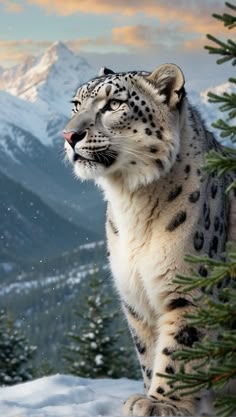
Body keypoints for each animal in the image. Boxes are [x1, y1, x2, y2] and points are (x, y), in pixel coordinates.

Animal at [63, 63, 236, 414]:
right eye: (76, 104)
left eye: (114, 104)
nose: (69, 135)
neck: (131, 206)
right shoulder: (134, 296)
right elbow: (147, 349)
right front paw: (147, 394)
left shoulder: (189, 288)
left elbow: (179, 349)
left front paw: (161, 403)